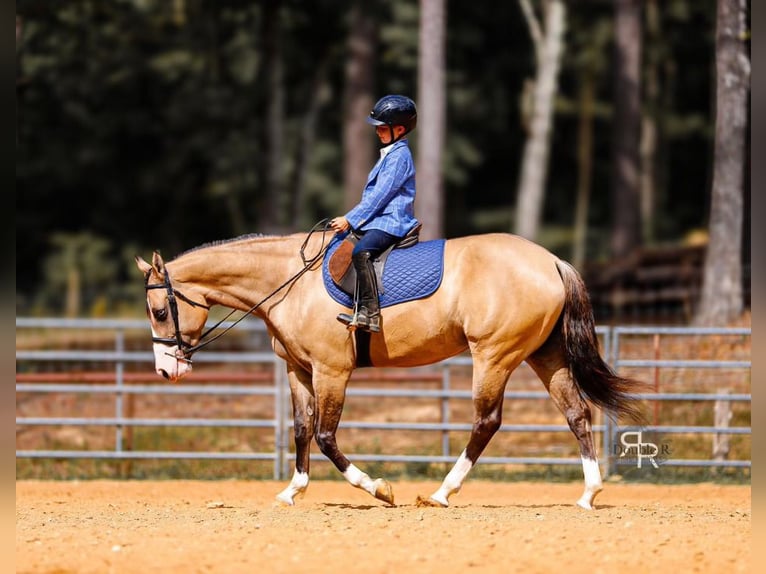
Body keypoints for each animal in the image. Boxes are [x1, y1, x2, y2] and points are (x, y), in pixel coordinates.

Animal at [136, 228, 645, 510]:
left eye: (160, 312)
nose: (166, 372)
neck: (289, 284)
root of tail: (551, 260)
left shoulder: (331, 371)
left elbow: (325, 436)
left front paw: (378, 488)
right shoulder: (298, 371)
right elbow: (300, 431)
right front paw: (293, 490)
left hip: (494, 355)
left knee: (486, 421)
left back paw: (441, 493)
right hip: (545, 355)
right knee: (576, 414)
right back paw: (589, 494)